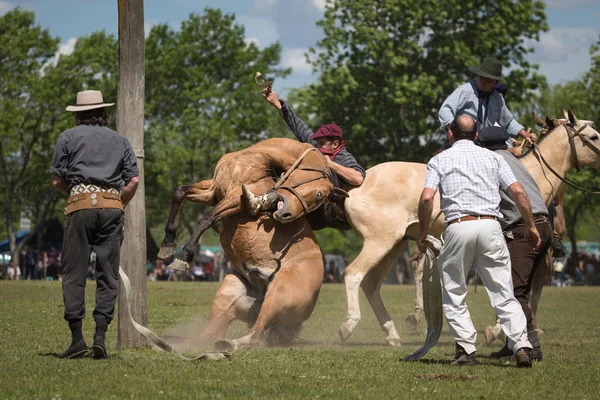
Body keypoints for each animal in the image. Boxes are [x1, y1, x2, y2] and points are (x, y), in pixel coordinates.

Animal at [338, 111, 600, 346]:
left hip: (394, 245)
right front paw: (500, 331)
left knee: (371, 284)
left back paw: (392, 335)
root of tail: (356, 187)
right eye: (594, 136)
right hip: (378, 243)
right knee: (353, 273)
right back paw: (349, 325)